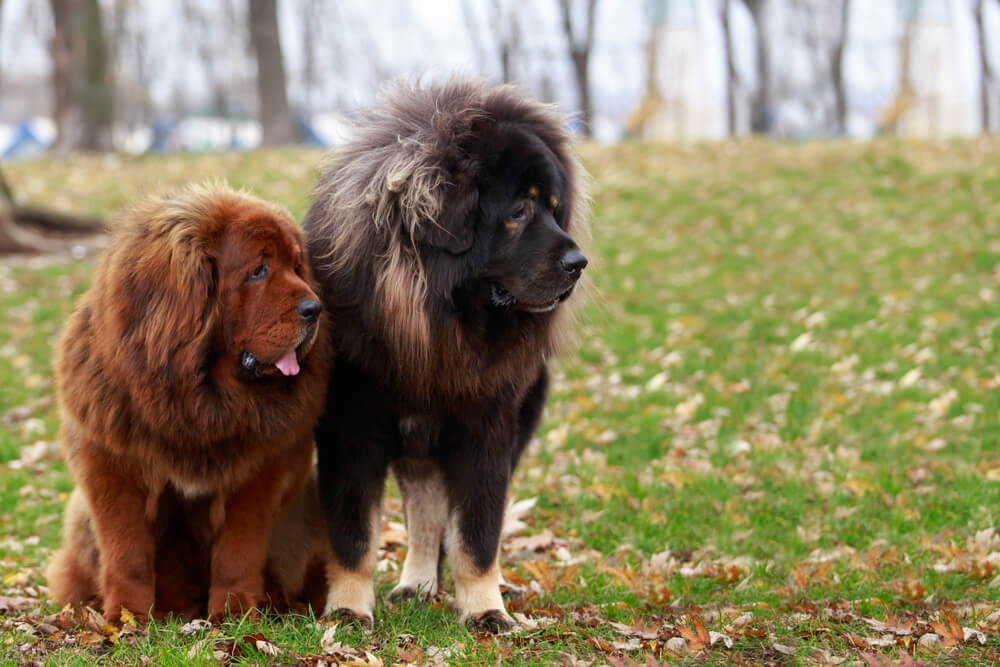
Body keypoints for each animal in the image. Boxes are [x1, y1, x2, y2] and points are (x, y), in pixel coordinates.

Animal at [45, 183, 332, 620]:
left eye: (297, 267)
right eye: (259, 270)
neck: (198, 400)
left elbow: (237, 553)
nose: (314, 308)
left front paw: (234, 613)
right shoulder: (112, 468)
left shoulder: (255, 473)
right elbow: (127, 553)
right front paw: (126, 617)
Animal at [304, 78, 584, 632]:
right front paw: (348, 607)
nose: (578, 262)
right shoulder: (352, 431)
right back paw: (416, 584)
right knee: (425, 514)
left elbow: (477, 534)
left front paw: (485, 609)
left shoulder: (485, 431)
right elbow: (354, 535)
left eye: (553, 207)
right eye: (518, 212)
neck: (439, 328)